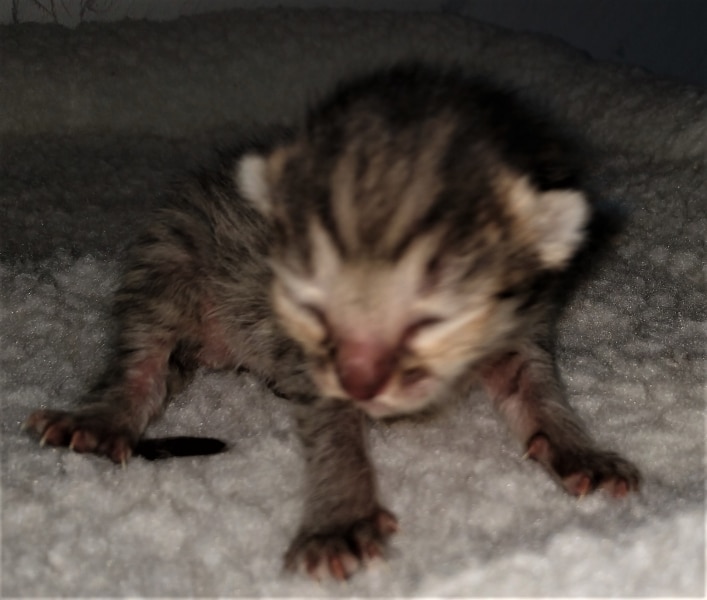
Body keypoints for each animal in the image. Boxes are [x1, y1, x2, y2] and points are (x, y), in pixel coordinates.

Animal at [24, 63, 640, 580]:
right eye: (311, 304)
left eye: (431, 319)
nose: (359, 381)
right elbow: (331, 424)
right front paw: (340, 518)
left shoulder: (524, 321)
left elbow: (536, 389)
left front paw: (578, 449)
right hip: (173, 253)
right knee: (145, 348)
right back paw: (104, 416)